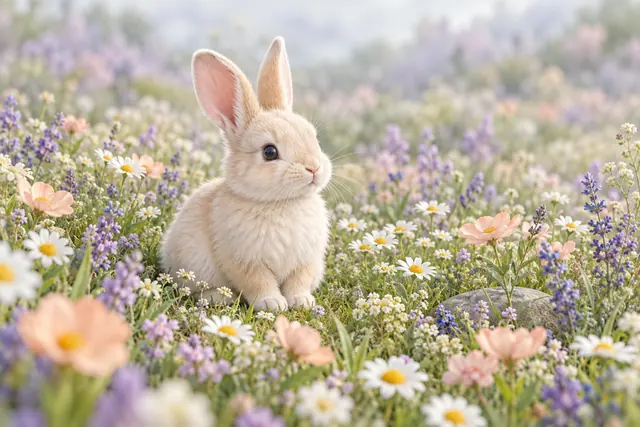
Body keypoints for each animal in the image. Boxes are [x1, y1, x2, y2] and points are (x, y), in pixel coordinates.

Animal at [161, 37, 332, 312]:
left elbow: (299, 282)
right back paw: (220, 298)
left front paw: (302, 302)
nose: (314, 168)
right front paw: (273, 304)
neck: (282, 203)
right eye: (270, 152)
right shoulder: (244, 261)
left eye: (313, 137)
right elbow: (259, 283)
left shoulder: (306, 261)